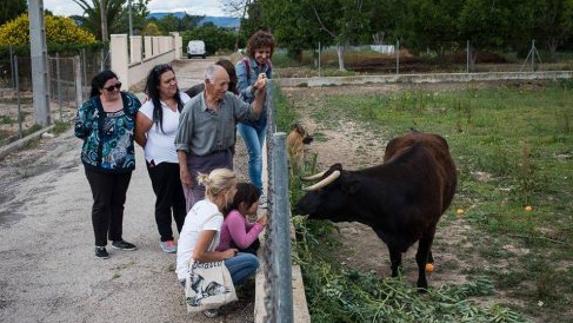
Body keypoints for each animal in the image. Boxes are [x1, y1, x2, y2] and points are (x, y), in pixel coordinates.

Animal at [294, 132, 456, 292]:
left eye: (324, 189)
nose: (297, 206)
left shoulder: (429, 226)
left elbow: (420, 257)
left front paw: (422, 286)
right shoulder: (390, 236)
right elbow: (395, 260)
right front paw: (394, 285)